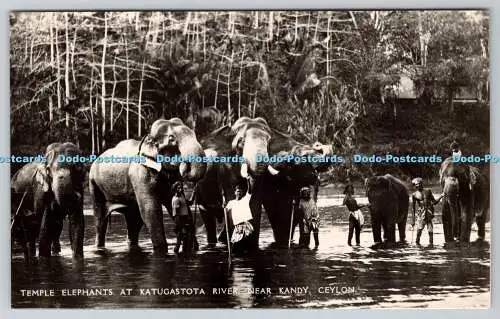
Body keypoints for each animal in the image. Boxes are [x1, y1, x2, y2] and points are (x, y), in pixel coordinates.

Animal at [88, 119, 207, 256]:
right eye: (172, 139)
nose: (185, 164)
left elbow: (171, 204)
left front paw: (192, 248)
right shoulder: (139, 174)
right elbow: (151, 210)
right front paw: (161, 252)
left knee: (134, 220)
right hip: (94, 184)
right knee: (100, 219)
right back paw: (99, 247)